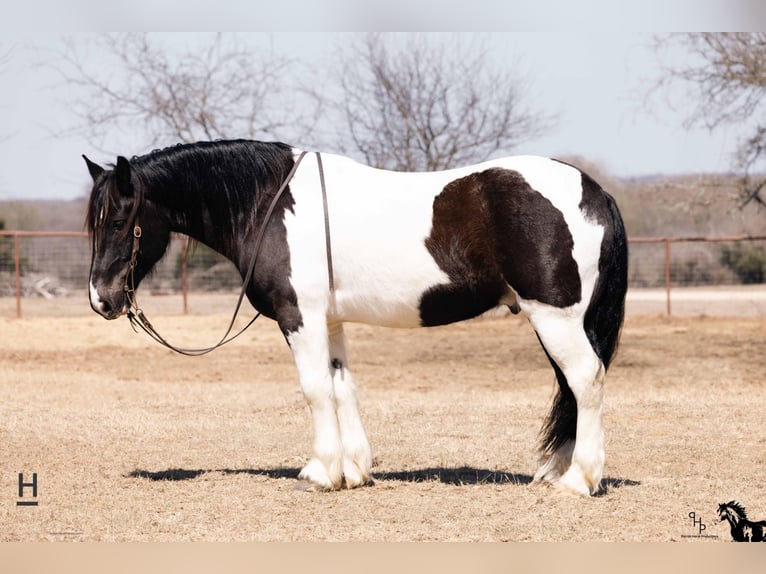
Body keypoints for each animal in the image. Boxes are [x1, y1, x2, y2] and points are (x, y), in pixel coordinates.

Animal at [84, 142, 632, 498]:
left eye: (120, 220)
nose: (101, 300)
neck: (268, 205)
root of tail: (594, 192)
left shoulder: (299, 317)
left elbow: (314, 390)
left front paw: (321, 472)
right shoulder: (328, 322)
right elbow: (342, 385)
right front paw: (355, 470)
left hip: (554, 317)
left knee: (584, 379)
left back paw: (579, 480)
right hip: (556, 319)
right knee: (569, 385)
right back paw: (554, 471)